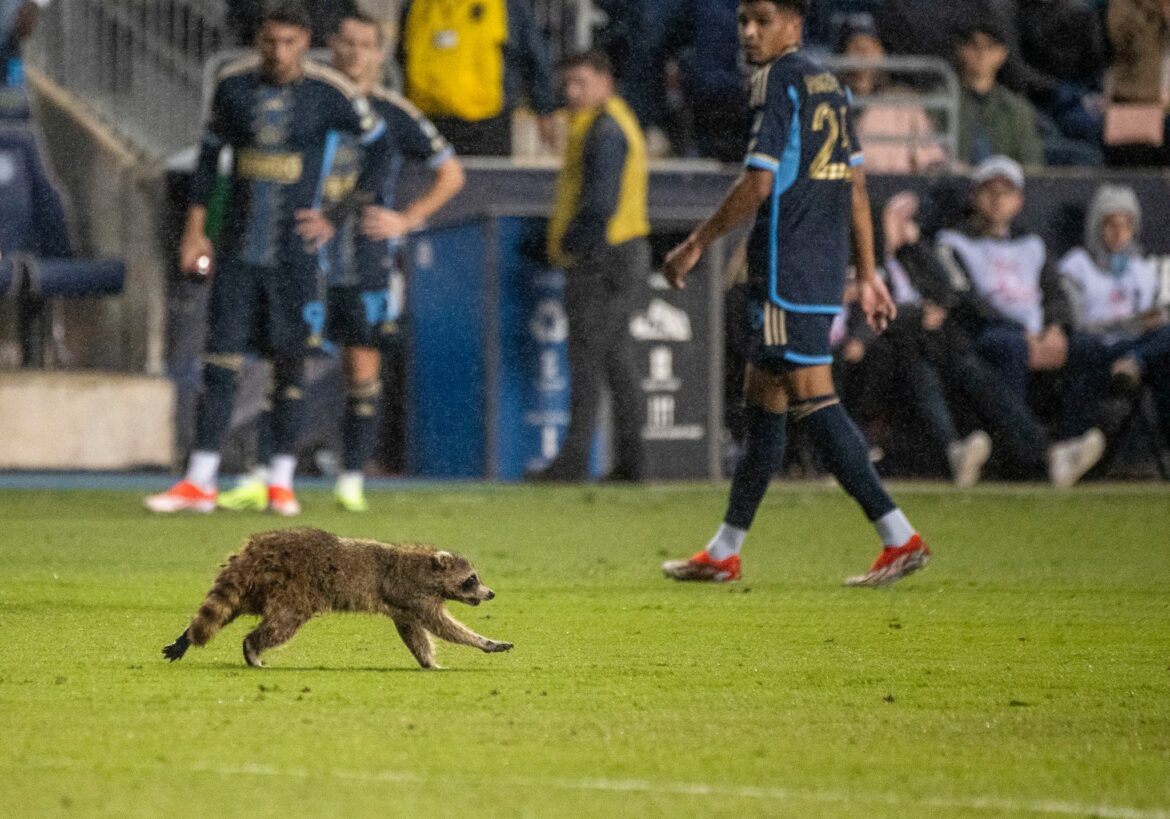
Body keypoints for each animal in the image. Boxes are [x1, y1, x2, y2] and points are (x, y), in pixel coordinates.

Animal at [162, 528, 510, 669]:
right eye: (471, 580)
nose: (491, 593)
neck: (426, 566)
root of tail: (256, 550)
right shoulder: (415, 595)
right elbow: (443, 626)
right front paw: (483, 641)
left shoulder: (404, 607)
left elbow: (414, 634)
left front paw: (428, 661)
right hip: (294, 589)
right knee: (281, 625)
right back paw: (252, 647)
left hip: (254, 587)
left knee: (226, 609)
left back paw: (187, 636)